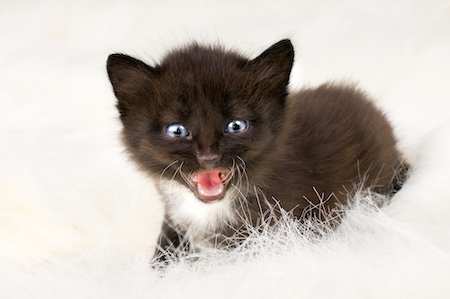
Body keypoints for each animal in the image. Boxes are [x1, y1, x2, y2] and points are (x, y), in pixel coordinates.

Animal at [106, 40, 404, 262]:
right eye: (177, 130)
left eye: (236, 125)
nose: (208, 157)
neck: (212, 209)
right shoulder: (174, 217)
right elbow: (165, 250)